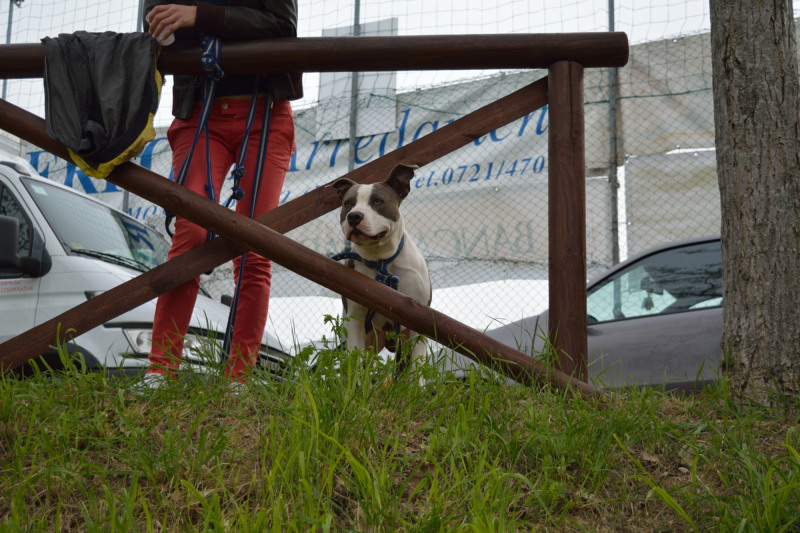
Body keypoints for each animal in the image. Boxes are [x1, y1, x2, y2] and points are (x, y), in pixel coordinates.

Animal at [330, 163, 432, 378]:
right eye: (348, 203)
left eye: (377, 201)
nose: (354, 216)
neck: (381, 261)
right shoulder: (356, 318)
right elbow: (356, 360)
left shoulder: (418, 322)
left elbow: (417, 370)